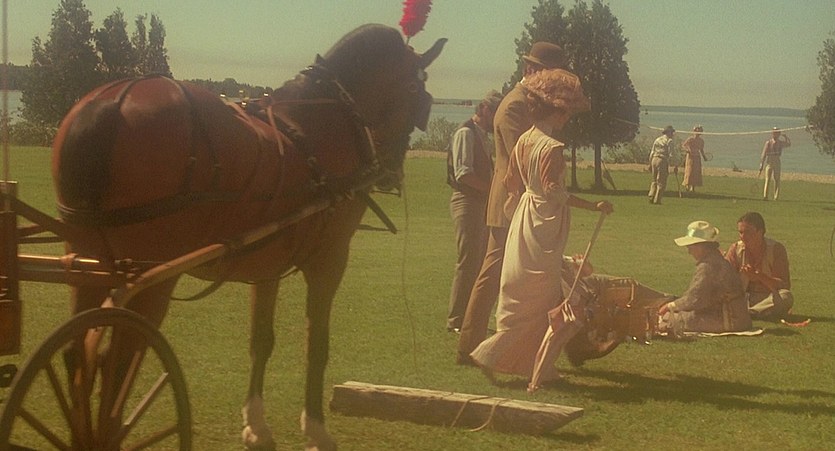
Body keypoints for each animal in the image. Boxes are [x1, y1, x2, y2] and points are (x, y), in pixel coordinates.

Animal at [51, 24, 445, 450]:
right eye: (420, 94)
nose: (391, 170)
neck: (318, 122)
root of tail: (112, 103)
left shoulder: (266, 265)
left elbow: (261, 341)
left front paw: (256, 424)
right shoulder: (330, 260)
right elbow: (317, 345)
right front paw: (316, 428)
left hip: (86, 266)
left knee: (78, 354)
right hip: (149, 277)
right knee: (121, 359)